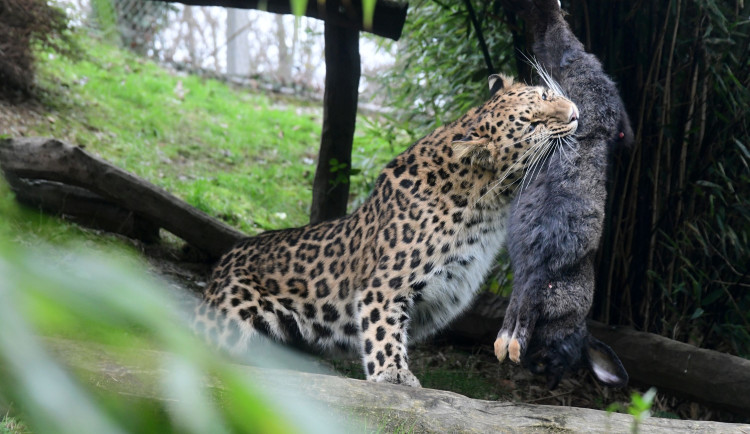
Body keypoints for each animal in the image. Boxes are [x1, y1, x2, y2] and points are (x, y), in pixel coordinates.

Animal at [194, 72, 580, 386]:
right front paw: (393, 374)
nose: (574, 114)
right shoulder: (384, 288)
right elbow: (384, 332)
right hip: (232, 320)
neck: (489, 199)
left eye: (546, 95)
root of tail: (223, 263)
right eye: (532, 126)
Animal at [500, 0, 636, 388]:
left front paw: (509, 351)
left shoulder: (526, 292)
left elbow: (515, 321)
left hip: (527, 279)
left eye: (554, 363)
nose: (541, 369)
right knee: (563, 47)